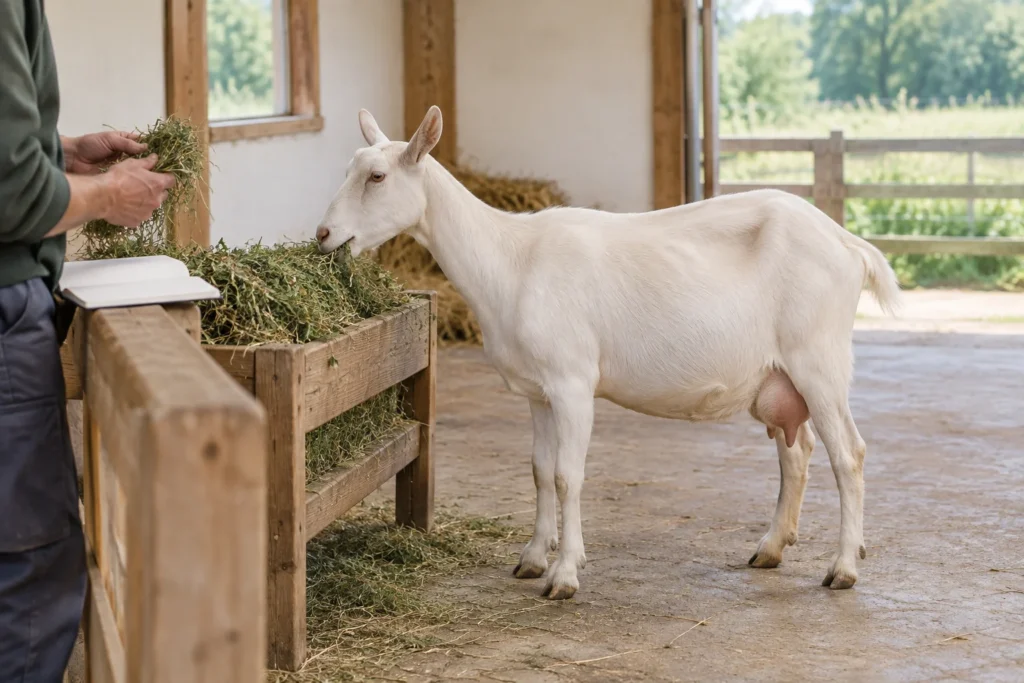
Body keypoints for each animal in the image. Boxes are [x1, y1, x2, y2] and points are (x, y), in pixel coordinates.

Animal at [316, 106, 902, 600]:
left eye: (377, 177)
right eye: (348, 169)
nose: (323, 234)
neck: (511, 261)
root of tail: (848, 243)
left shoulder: (572, 382)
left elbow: (566, 475)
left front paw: (564, 575)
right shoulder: (537, 391)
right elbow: (538, 469)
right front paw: (532, 558)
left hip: (818, 359)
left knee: (848, 454)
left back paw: (842, 568)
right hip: (779, 375)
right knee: (796, 451)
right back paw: (771, 549)